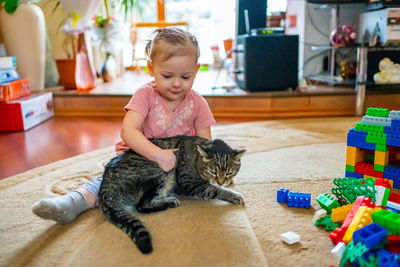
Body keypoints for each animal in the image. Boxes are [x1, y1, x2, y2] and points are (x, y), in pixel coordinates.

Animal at [98, 136, 245, 255]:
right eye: (213, 172)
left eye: (229, 172)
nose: (221, 181)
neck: (196, 158)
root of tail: (105, 185)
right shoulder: (190, 184)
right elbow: (215, 190)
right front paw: (233, 195)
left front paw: (229, 183)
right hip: (159, 170)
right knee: (141, 205)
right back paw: (169, 202)